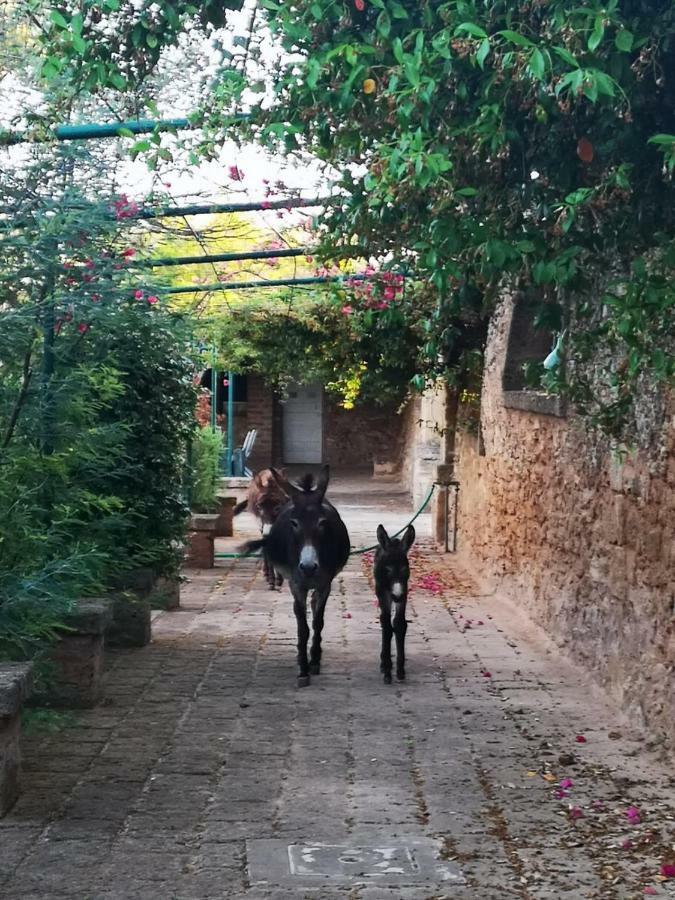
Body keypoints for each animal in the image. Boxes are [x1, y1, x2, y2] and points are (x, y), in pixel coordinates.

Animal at [372, 520, 414, 684]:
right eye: (388, 569)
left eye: (404, 569)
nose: (396, 595)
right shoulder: (385, 594)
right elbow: (387, 626)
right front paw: (388, 671)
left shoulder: (404, 592)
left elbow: (400, 624)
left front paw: (400, 671)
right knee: (384, 621)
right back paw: (384, 663)